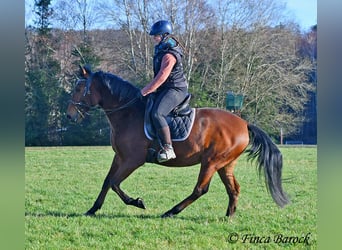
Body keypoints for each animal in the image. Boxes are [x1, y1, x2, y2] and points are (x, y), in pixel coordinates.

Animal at [66, 65, 288, 218]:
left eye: (78, 88)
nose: (69, 115)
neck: (128, 112)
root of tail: (244, 123)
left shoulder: (133, 159)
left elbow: (114, 183)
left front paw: (137, 202)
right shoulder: (120, 157)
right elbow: (107, 181)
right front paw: (93, 209)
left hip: (211, 162)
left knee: (200, 189)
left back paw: (171, 212)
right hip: (225, 164)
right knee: (233, 189)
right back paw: (229, 216)